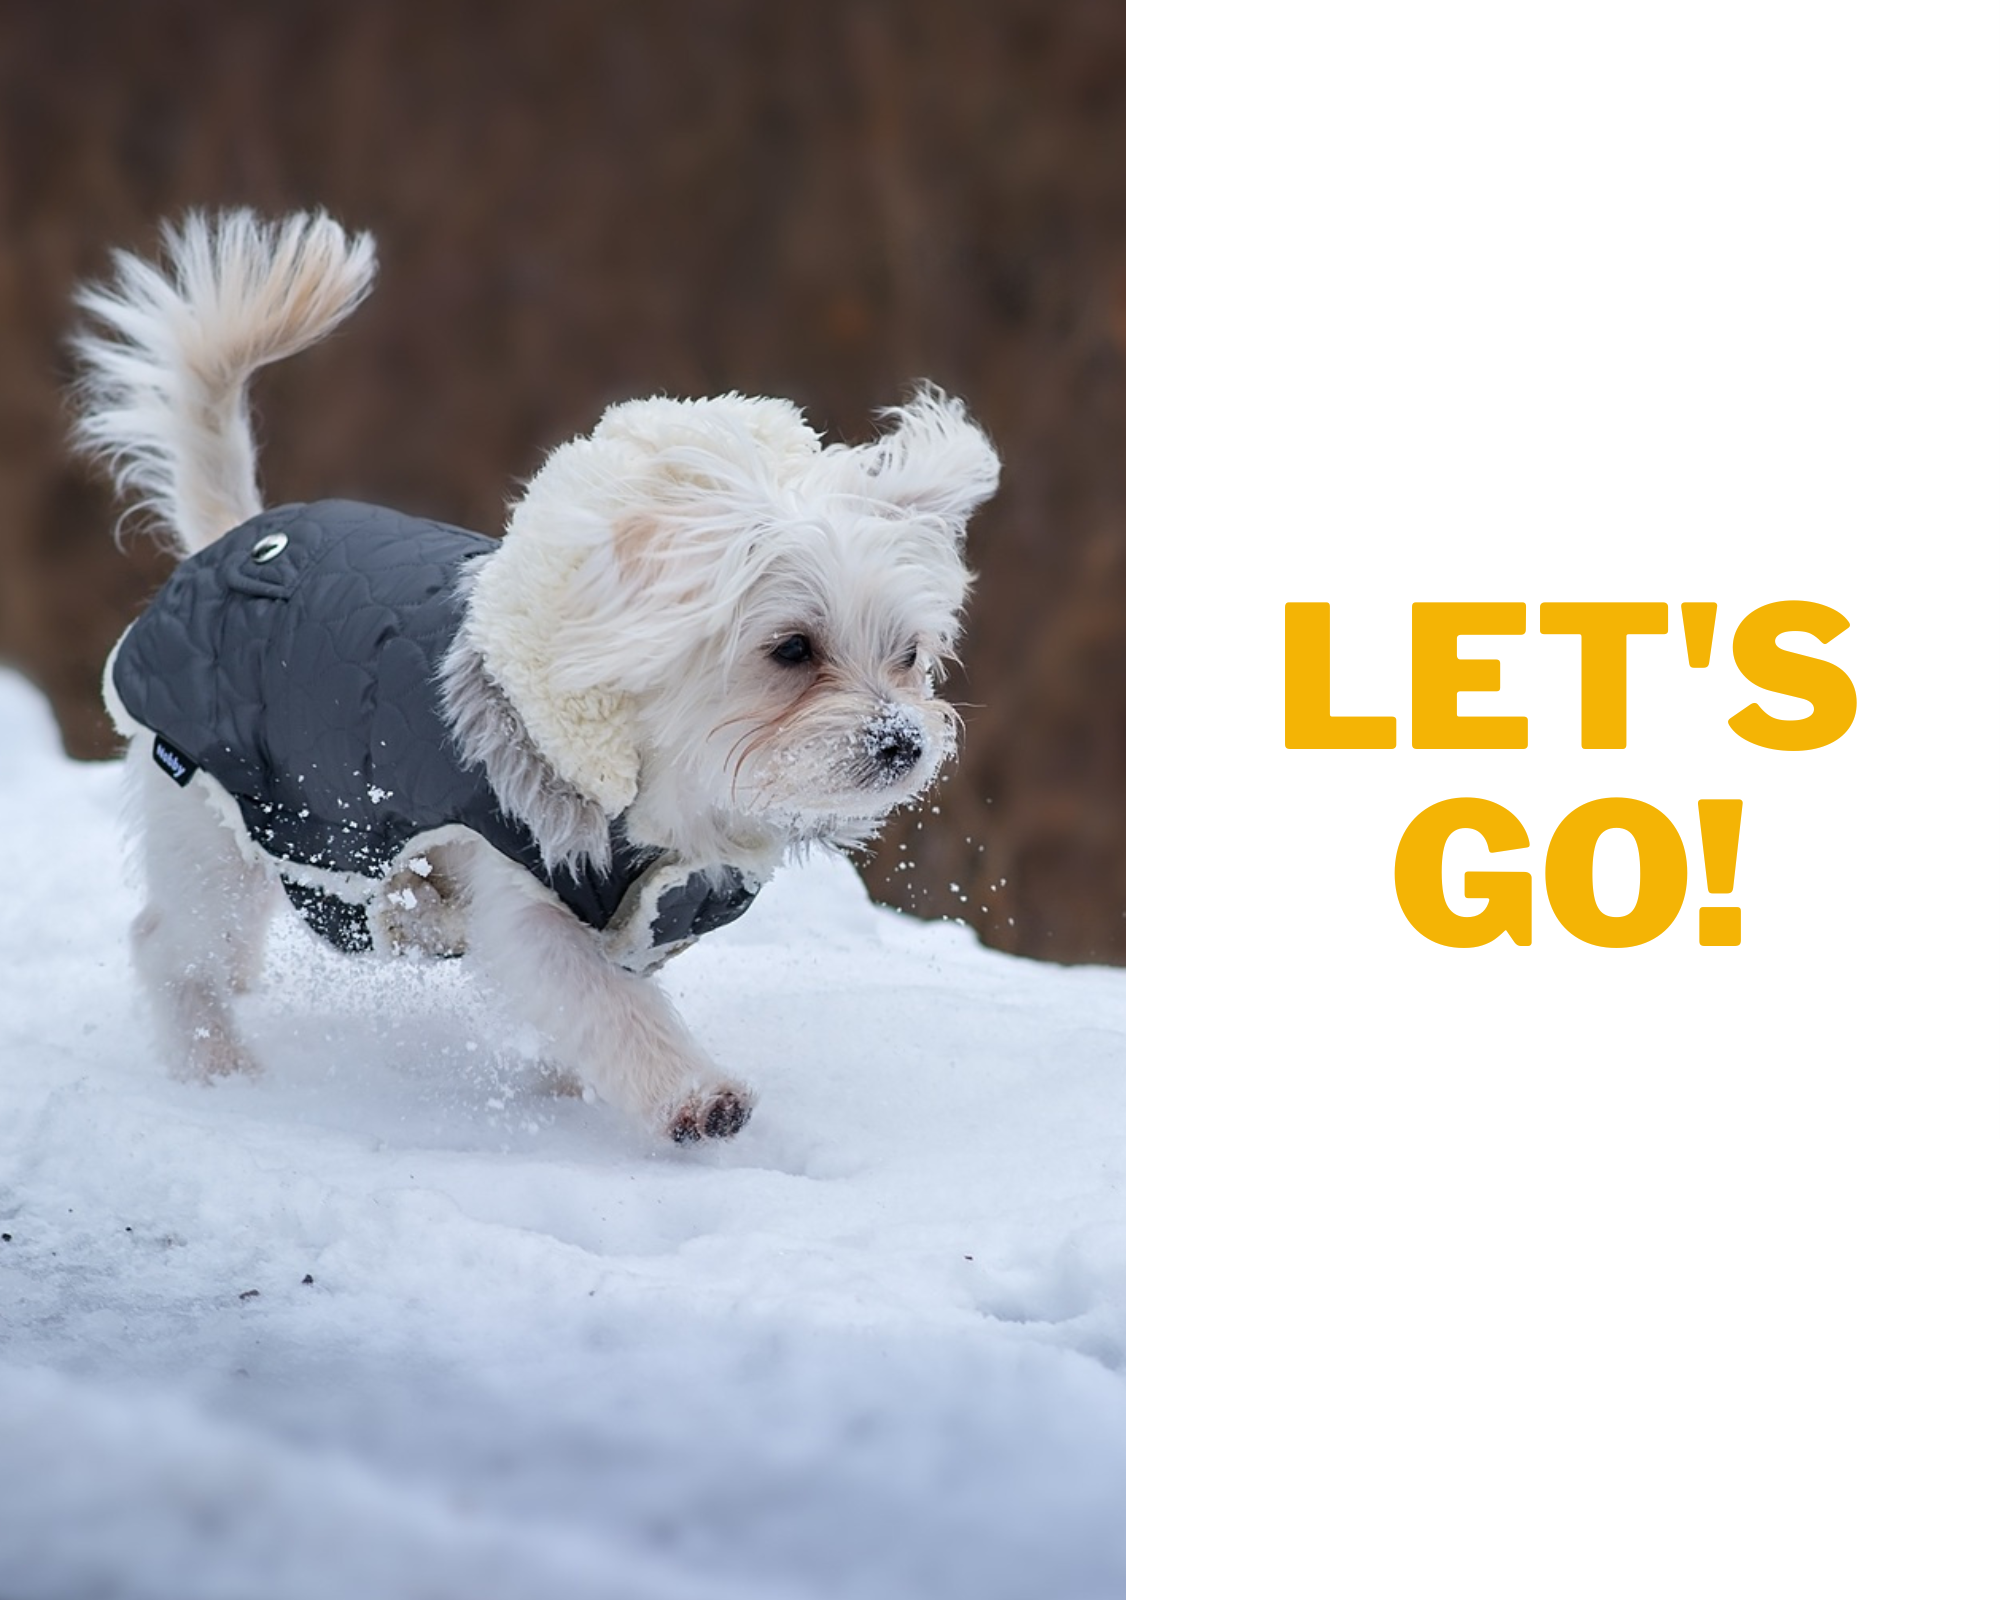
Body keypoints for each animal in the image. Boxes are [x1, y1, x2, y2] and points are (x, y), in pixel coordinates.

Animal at [72, 209, 1000, 1136]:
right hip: (213, 818)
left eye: (909, 656)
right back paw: (216, 1066)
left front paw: (570, 1086)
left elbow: (596, 1012)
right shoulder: (525, 898)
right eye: (794, 649)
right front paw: (695, 1094)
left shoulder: (647, 914)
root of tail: (231, 540)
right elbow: (606, 1005)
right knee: (170, 946)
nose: (902, 742)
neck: (663, 791)